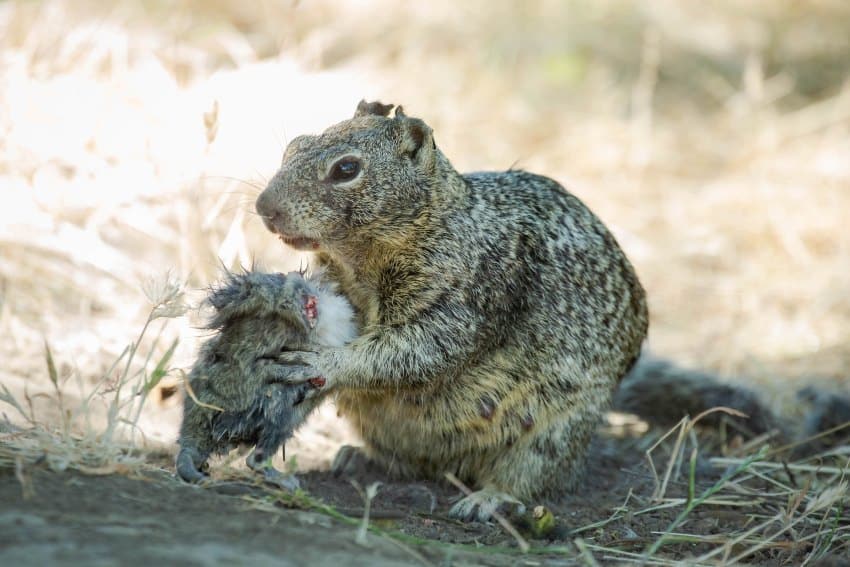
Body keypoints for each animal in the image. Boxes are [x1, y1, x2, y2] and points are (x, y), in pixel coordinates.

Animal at [255, 101, 644, 520]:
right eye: (293, 146)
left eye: (346, 169)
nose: (264, 207)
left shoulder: (464, 302)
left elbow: (414, 352)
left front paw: (323, 361)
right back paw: (359, 459)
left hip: (553, 433)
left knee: (531, 478)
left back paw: (487, 499)